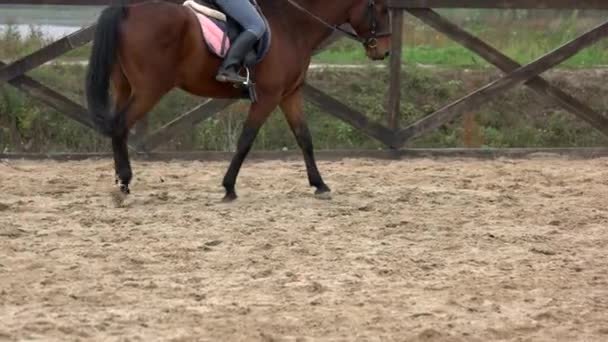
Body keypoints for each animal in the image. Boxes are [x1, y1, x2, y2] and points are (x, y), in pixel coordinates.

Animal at [84, 0, 390, 202]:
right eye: (383, 9)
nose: (384, 52)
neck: (291, 24)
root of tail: (128, 9)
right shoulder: (268, 97)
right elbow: (246, 140)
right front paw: (228, 187)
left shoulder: (289, 95)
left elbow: (304, 138)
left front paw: (320, 185)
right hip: (150, 89)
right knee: (120, 125)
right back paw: (124, 183)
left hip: (124, 86)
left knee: (118, 128)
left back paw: (120, 181)